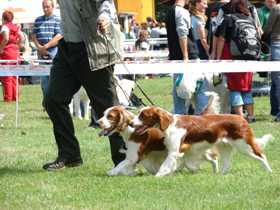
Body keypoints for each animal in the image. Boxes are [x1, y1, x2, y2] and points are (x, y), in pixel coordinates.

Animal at [132, 106, 274, 176]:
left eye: (143, 116)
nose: (131, 123)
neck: (170, 124)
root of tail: (242, 118)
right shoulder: (187, 150)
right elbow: (187, 163)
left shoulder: (174, 151)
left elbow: (165, 165)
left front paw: (158, 176)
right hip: (224, 146)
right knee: (227, 163)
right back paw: (218, 176)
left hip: (244, 145)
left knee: (261, 155)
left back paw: (269, 172)